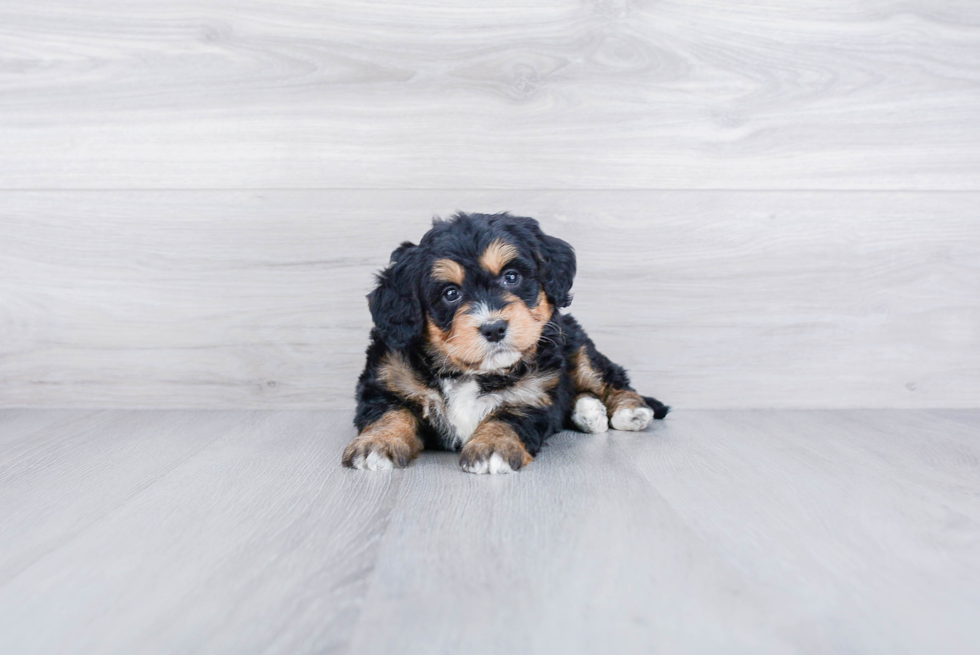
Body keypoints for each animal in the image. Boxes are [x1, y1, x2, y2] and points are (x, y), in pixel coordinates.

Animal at [340, 213, 668, 474]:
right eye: (450, 294)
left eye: (511, 277)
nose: (494, 328)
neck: (469, 372)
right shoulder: (386, 380)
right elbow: (391, 413)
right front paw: (376, 443)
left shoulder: (533, 392)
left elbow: (508, 415)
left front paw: (492, 447)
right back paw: (589, 413)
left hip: (577, 345)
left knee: (608, 378)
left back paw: (629, 411)